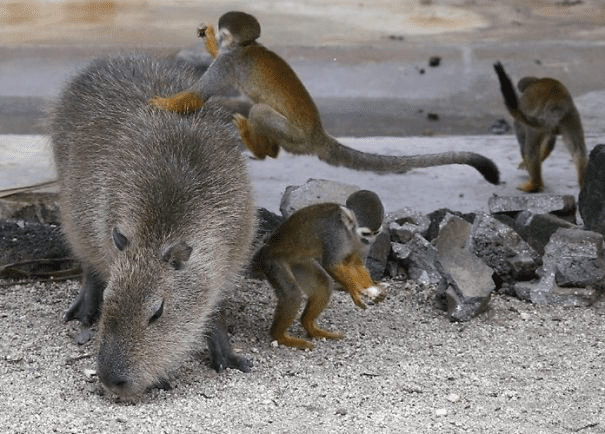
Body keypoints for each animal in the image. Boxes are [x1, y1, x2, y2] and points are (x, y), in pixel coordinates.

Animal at [150, 11, 500, 185]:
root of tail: (318, 135)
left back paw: (261, 148)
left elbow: (198, 95)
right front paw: (207, 37)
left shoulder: (229, 62)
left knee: (259, 110)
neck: (246, 47)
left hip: (295, 136)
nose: (218, 36)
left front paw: (161, 103)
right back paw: (265, 149)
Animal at [251, 190, 384, 350]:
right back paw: (280, 336)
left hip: (297, 262)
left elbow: (356, 264)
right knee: (293, 295)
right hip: (273, 263)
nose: (370, 241)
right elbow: (331, 265)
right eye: (366, 234)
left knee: (323, 283)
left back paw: (309, 326)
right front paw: (354, 291)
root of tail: (266, 250)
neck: (349, 232)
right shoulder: (335, 235)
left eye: (375, 233)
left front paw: (370, 288)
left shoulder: (360, 243)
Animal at [490, 61, 584, 192]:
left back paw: (534, 185)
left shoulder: (520, 122)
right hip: (570, 115)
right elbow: (550, 142)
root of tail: (558, 102)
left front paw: (525, 164)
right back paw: (584, 182)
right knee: (578, 151)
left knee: (530, 147)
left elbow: (523, 141)